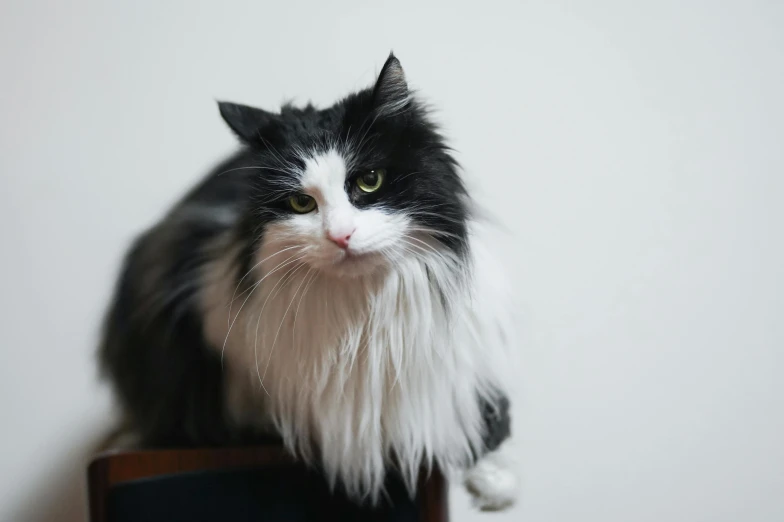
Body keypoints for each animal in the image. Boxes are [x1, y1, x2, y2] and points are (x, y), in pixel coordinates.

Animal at [99, 52, 520, 508]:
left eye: (369, 181)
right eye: (301, 203)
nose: (341, 236)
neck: (362, 319)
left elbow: (476, 409)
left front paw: (496, 484)